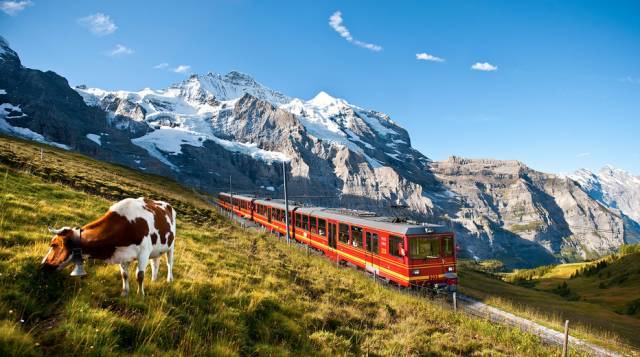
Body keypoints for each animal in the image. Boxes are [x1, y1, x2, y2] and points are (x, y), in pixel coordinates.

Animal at [41, 197, 176, 294]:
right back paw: (153, 280)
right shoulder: (122, 253)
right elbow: (124, 275)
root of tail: (166, 204)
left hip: (171, 246)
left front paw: (140, 294)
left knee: (169, 263)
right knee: (155, 263)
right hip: (156, 249)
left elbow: (140, 275)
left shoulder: (144, 252)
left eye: (54, 245)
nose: (43, 265)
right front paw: (125, 293)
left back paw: (169, 280)